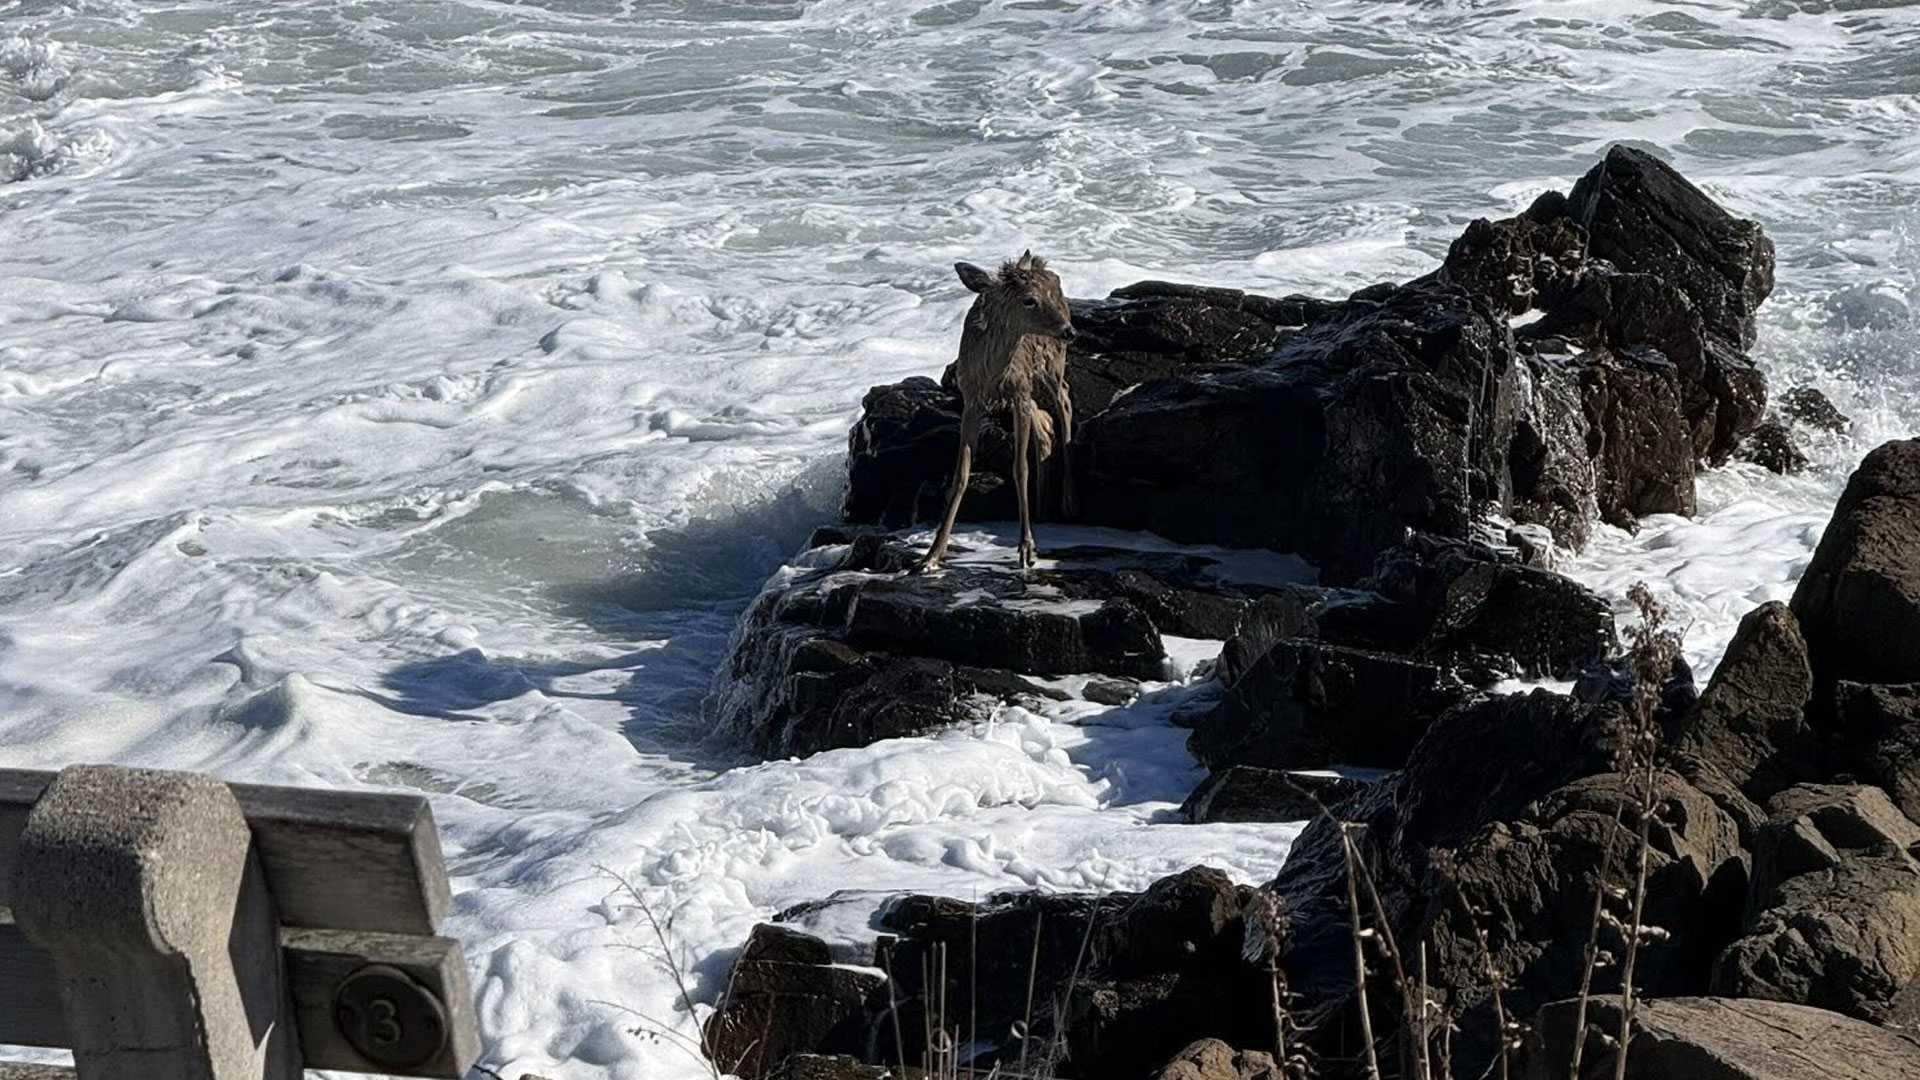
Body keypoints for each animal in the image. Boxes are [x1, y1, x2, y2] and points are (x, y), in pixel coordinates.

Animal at [914, 251, 1076, 574]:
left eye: (1048, 294)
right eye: (1029, 300)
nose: (1070, 331)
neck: (992, 373)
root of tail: (1036, 262)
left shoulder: (1019, 391)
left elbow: (1020, 468)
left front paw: (1027, 549)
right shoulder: (972, 400)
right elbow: (961, 474)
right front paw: (931, 556)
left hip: (1051, 361)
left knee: (1063, 400)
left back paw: (1066, 500)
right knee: (1045, 424)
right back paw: (1042, 507)